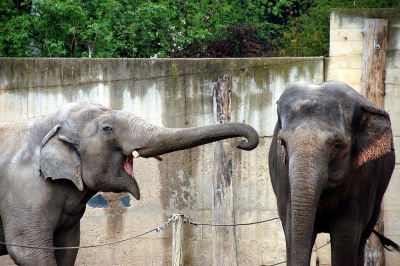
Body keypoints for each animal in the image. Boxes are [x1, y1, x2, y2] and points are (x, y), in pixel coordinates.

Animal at [0, 102, 260, 266]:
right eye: (107, 128)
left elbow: (68, 248)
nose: (243, 143)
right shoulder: (25, 192)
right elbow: (28, 251)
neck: (47, 120)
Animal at [268, 81, 396, 266]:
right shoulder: (282, 172)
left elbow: (345, 233)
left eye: (337, 145)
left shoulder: (364, 176)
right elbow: (292, 227)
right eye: (282, 143)